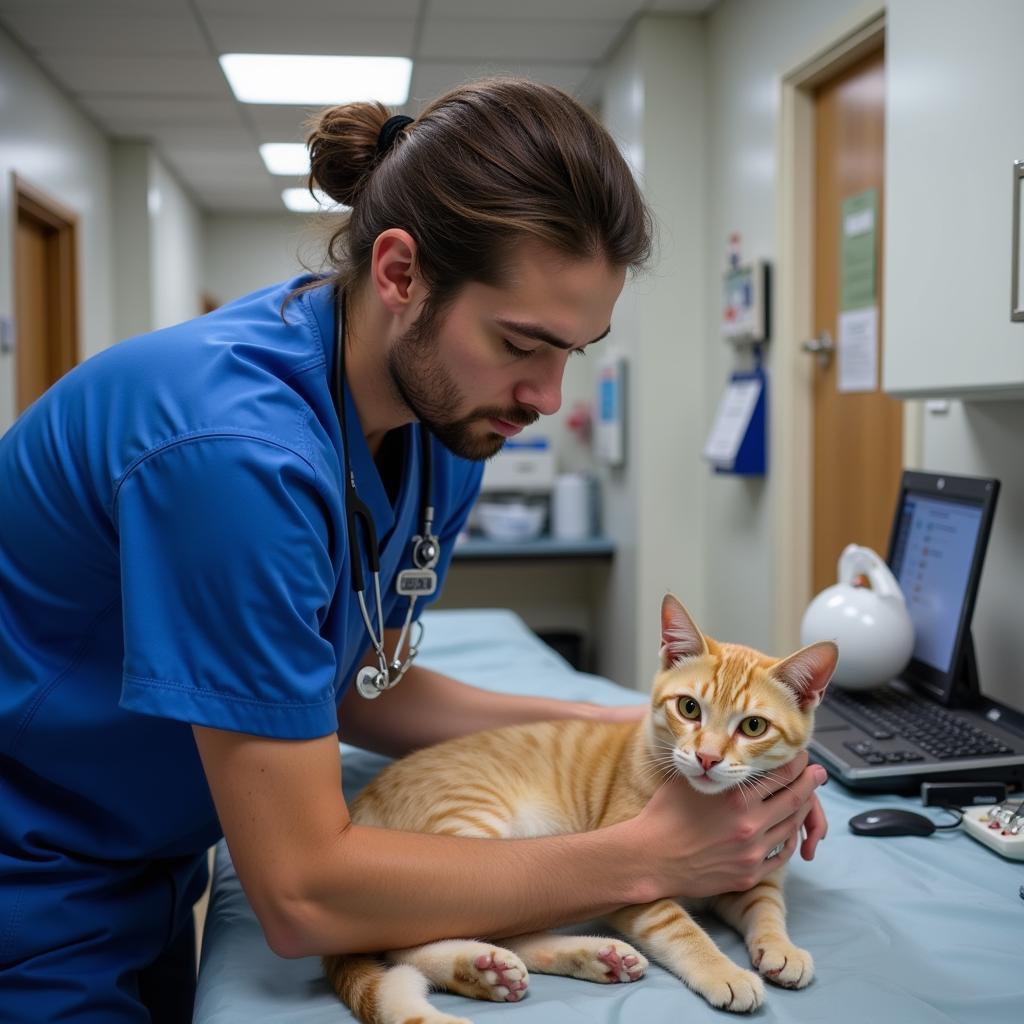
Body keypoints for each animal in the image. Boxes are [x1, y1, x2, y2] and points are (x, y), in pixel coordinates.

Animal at [323, 593, 835, 1024]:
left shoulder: (755, 873)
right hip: (468, 843)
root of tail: (362, 800)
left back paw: (587, 960)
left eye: (753, 726)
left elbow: (767, 906)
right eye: (689, 708)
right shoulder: (638, 884)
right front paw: (722, 971)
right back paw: (483, 968)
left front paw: (781, 947)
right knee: (417, 937)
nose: (707, 757)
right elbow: (681, 930)